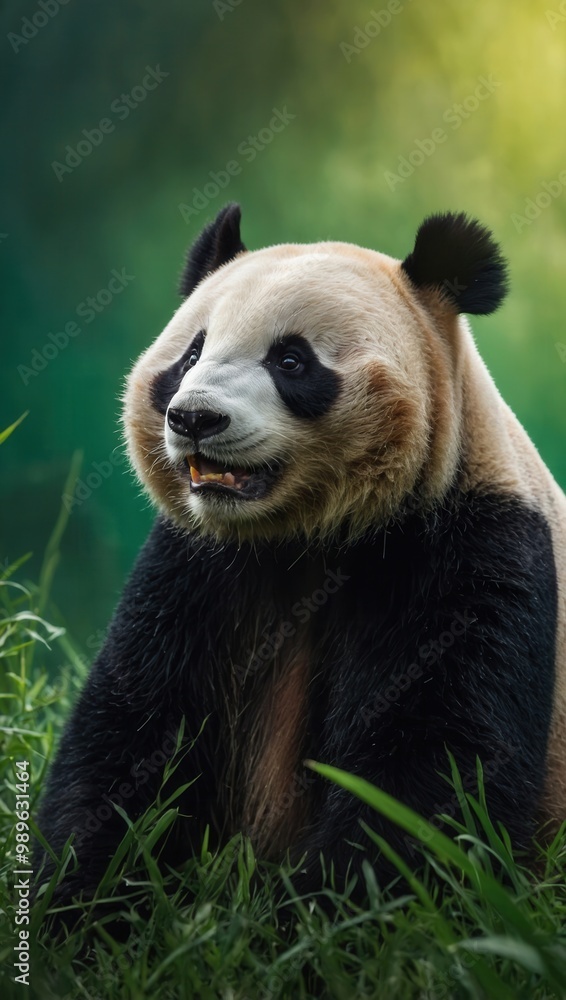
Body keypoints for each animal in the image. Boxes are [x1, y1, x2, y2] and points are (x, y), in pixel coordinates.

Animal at [37, 203, 566, 910]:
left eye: (290, 360)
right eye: (191, 354)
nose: (194, 418)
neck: (304, 537)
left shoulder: (473, 543)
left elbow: (437, 766)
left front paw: (321, 914)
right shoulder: (197, 563)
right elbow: (133, 731)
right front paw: (88, 903)